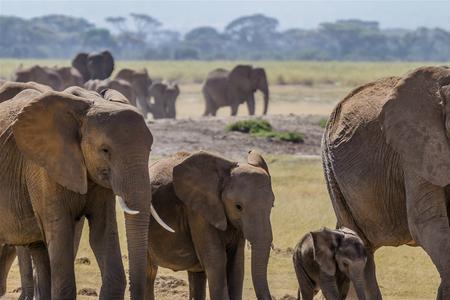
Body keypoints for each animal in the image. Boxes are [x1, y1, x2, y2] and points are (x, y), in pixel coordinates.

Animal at [0, 82, 171, 300]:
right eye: (105, 150)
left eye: (149, 149)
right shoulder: (43, 169)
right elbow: (60, 233)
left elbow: (102, 234)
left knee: (38, 249)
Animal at [148, 150, 274, 300]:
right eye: (238, 207)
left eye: (272, 205)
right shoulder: (199, 212)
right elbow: (216, 261)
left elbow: (236, 265)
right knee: (149, 271)